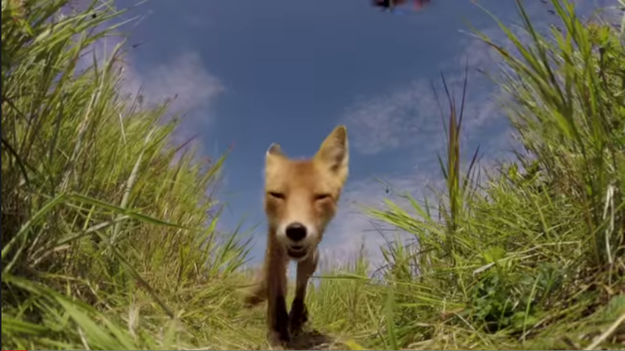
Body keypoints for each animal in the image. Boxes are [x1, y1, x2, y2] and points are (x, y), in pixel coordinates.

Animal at [245, 124, 352, 346]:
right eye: (277, 195)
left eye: (321, 197)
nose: (295, 230)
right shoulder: (275, 248)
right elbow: (277, 294)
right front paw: (277, 332)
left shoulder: (310, 254)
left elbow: (300, 289)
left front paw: (294, 319)